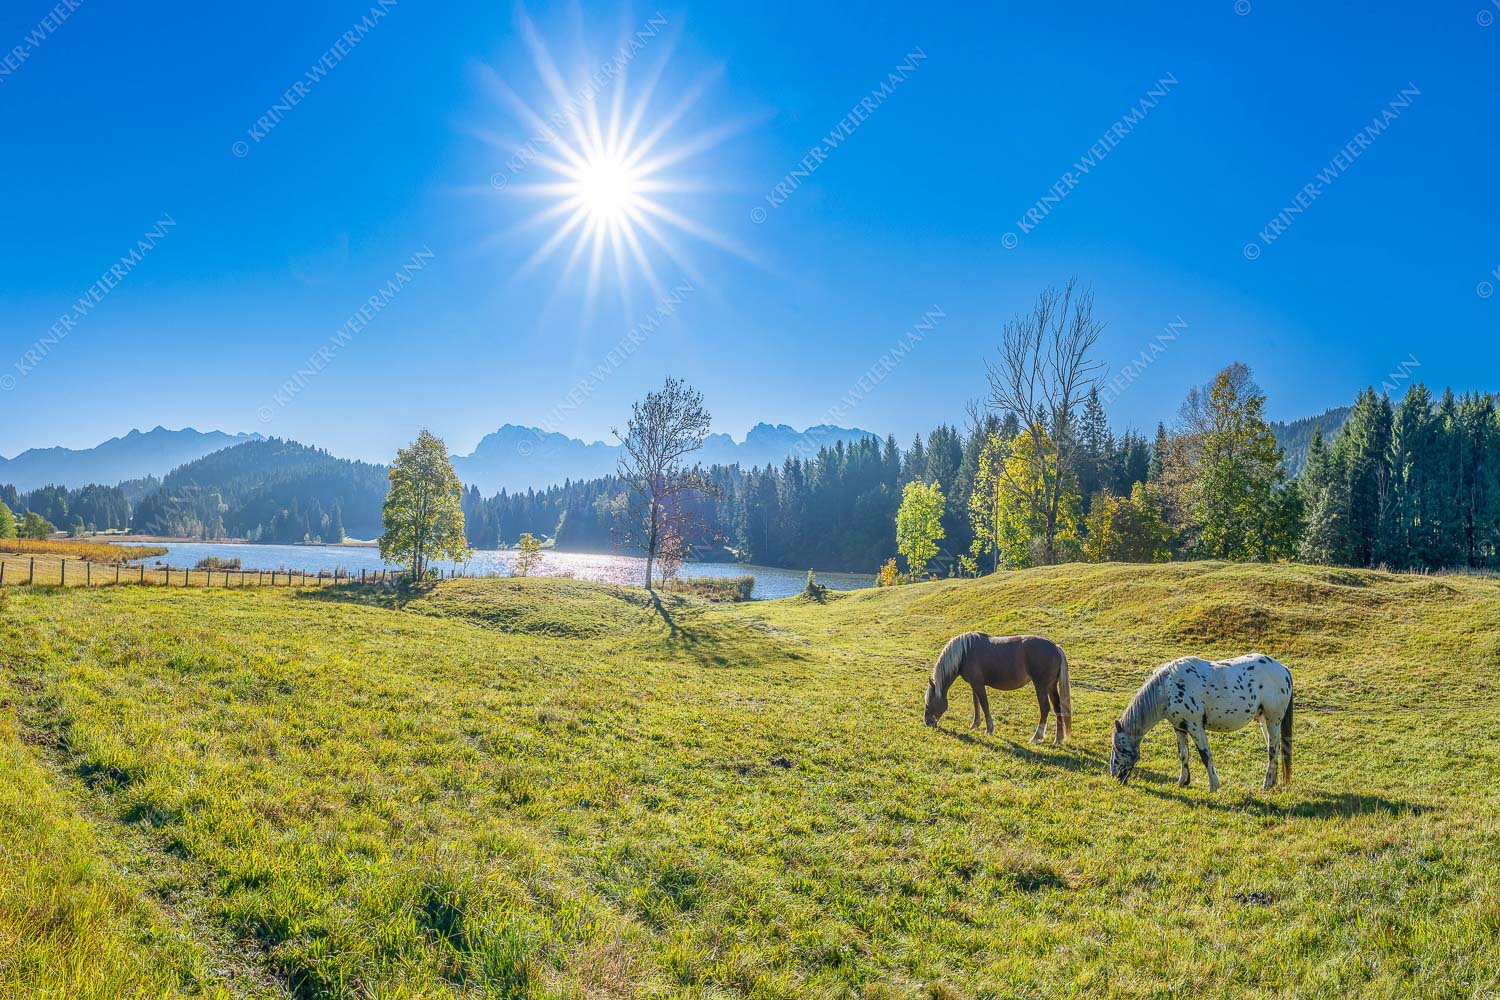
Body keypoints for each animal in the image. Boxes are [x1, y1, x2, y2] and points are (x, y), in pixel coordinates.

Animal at [923, 633, 1072, 743]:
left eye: (928, 702)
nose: (927, 722)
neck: (964, 653)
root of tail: (1056, 648)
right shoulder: (974, 684)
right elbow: (976, 703)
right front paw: (975, 724)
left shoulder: (978, 684)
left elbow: (984, 704)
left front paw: (989, 729)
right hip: (1051, 687)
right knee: (1058, 708)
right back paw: (1058, 739)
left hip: (1041, 686)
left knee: (1045, 709)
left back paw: (1036, 737)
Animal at [1109, 653, 1293, 792]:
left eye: (1120, 748)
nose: (1115, 776)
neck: (1168, 688)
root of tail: (1284, 669)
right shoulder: (1179, 727)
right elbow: (1183, 754)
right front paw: (1183, 782)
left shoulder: (1195, 727)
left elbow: (1205, 755)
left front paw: (1214, 786)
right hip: (1264, 721)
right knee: (1274, 749)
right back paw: (1272, 783)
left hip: (1273, 721)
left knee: (1273, 751)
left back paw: (1266, 785)